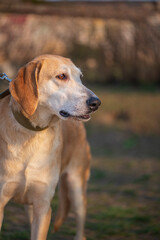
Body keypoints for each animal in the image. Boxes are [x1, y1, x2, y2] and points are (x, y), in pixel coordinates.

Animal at [0, 54, 100, 240]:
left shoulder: (43, 207)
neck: (32, 134)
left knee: (80, 221)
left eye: (80, 77)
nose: (96, 103)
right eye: (62, 76)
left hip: (76, 186)